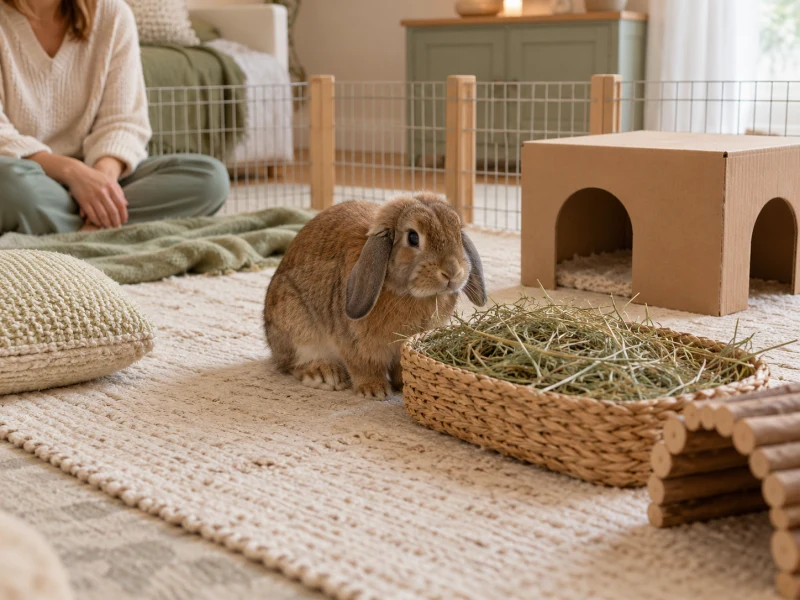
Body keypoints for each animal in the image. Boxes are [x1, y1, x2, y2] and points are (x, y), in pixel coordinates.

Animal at [263, 192, 487, 399]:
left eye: (457, 232)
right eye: (413, 237)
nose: (452, 272)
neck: (409, 294)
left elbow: (401, 367)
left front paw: (404, 385)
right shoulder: (357, 345)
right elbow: (364, 367)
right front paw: (374, 390)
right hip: (296, 323)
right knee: (293, 364)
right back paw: (325, 375)